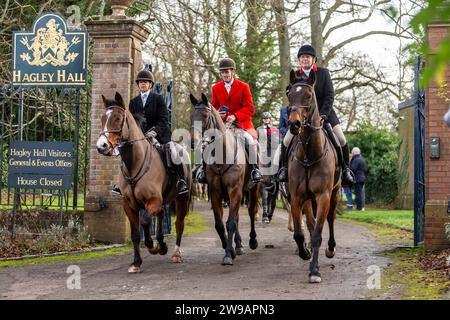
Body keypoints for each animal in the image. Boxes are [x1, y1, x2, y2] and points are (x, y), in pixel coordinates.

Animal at [96, 92, 192, 272]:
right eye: (102, 118)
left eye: (118, 118)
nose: (101, 146)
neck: (134, 162)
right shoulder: (129, 205)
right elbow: (135, 234)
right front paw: (136, 262)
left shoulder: (153, 200)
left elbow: (146, 222)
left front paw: (152, 246)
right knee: (161, 215)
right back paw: (161, 243)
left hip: (182, 198)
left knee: (179, 224)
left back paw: (175, 253)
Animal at [190, 92, 260, 264]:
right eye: (191, 116)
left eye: (205, 115)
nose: (193, 142)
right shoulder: (215, 192)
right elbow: (220, 225)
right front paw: (231, 250)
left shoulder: (235, 190)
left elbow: (230, 223)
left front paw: (228, 254)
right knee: (236, 217)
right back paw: (239, 245)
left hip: (252, 189)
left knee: (250, 211)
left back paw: (252, 241)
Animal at [286, 70, 340, 282]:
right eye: (289, 95)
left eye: (309, 96)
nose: (294, 124)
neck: (309, 154)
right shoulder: (297, 197)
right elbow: (300, 233)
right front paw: (305, 253)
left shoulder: (324, 196)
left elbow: (317, 233)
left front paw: (315, 271)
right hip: (308, 199)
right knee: (309, 223)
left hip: (335, 193)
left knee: (330, 218)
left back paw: (331, 249)